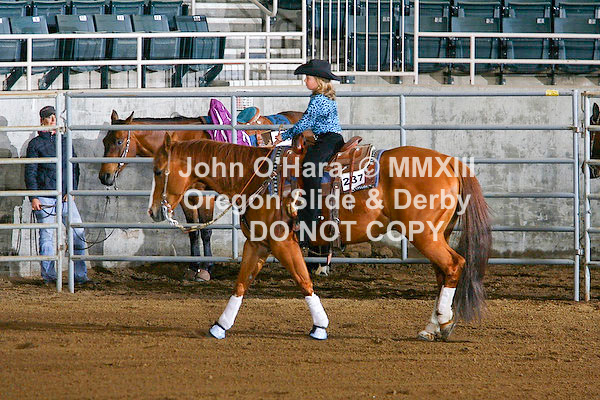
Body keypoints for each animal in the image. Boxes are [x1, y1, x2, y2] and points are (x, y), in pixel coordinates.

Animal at [99, 109, 304, 281]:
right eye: (104, 142)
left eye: (118, 141)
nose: (104, 176)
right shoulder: (185, 197)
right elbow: (193, 230)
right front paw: (193, 267)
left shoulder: (206, 196)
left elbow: (206, 230)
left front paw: (206, 269)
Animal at [148, 135, 491, 341]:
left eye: (158, 171)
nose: (154, 211)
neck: (258, 177)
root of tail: (451, 162)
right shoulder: (258, 242)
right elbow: (242, 283)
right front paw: (220, 326)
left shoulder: (282, 242)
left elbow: (303, 279)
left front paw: (320, 326)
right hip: (435, 234)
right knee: (444, 272)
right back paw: (433, 327)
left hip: (425, 236)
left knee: (454, 265)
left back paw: (443, 322)